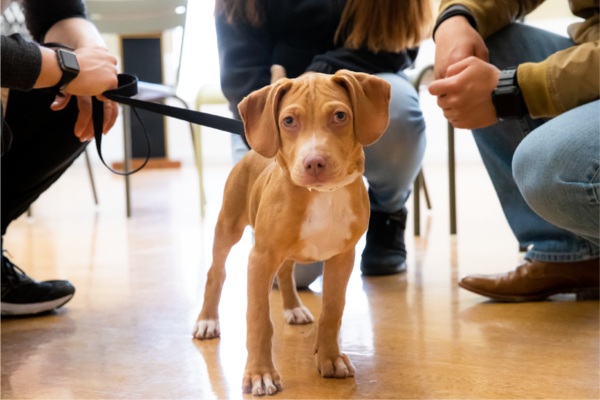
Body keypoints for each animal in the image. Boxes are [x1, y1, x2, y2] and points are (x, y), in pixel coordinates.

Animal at [192, 70, 390, 396]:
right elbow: (259, 319)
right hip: (228, 226)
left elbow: (332, 311)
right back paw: (207, 320)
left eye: (340, 116)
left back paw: (294, 308)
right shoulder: (260, 258)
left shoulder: (342, 257)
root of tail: (254, 151)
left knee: (286, 272)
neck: (323, 195)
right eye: (288, 121)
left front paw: (330, 358)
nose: (314, 162)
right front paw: (260, 373)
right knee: (215, 272)